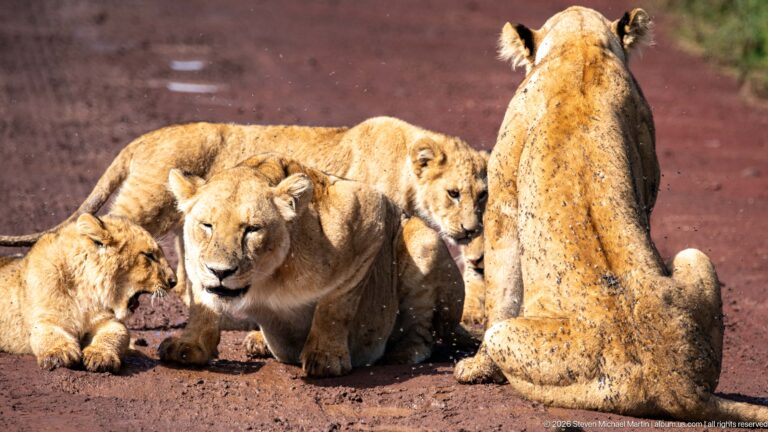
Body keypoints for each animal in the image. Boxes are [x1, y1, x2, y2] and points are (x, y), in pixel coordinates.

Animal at [0, 214, 176, 372]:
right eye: (148, 255)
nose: (174, 281)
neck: (84, 291)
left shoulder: (108, 321)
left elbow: (115, 334)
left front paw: (100, 356)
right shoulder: (45, 319)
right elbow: (49, 334)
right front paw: (60, 353)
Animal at [156, 153, 464, 377]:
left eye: (252, 229)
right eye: (207, 225)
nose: (221, 272)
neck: (267, 278)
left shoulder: (366, 211)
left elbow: (336, 305)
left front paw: (326, 357)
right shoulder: (195, 264)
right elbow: (202, 305)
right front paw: (190, 345)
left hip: (423, 240)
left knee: (424, 333)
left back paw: (401, 352)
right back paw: (258, 340)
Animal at [454, 6, 768, 422]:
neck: (582, 47)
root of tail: (679, 385)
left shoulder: (503, 200)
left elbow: (501, 289)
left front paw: (475, 368)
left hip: (516, 342)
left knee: (500, 332)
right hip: (695, 257)